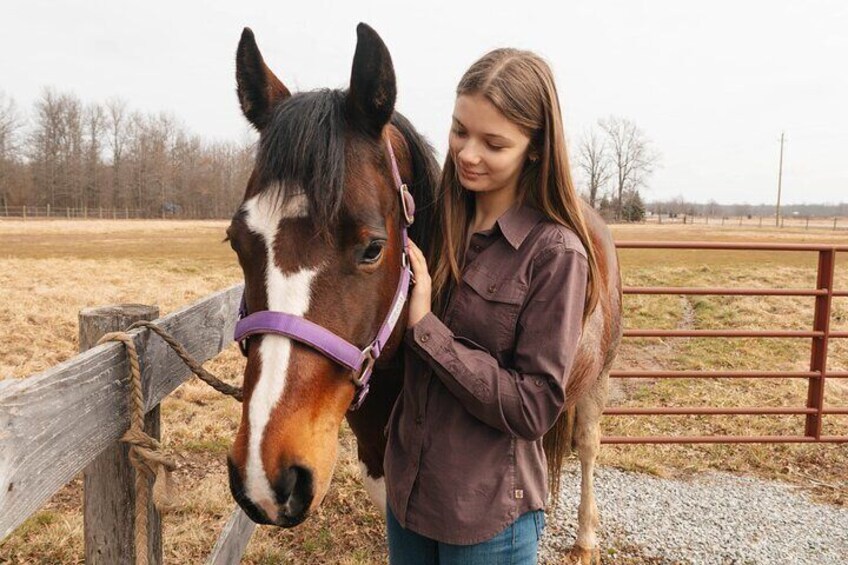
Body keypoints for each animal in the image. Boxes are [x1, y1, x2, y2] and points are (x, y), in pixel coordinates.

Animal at [225, 23, 624, 564]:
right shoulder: (378, 464)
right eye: (236, 241)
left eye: (373, 248)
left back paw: (585, 538)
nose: (266, 479)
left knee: (586, 445)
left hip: (596, 380)